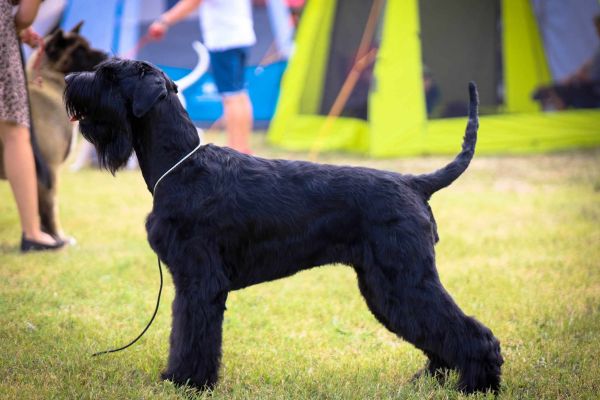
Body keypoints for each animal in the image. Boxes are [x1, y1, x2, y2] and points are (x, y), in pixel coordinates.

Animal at [0, 21, 105, 239]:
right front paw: (57, 238)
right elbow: (49, 208)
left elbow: (39, 210)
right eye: (79, 51)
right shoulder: (50, 169)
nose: (106, 55)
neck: (51, 82)